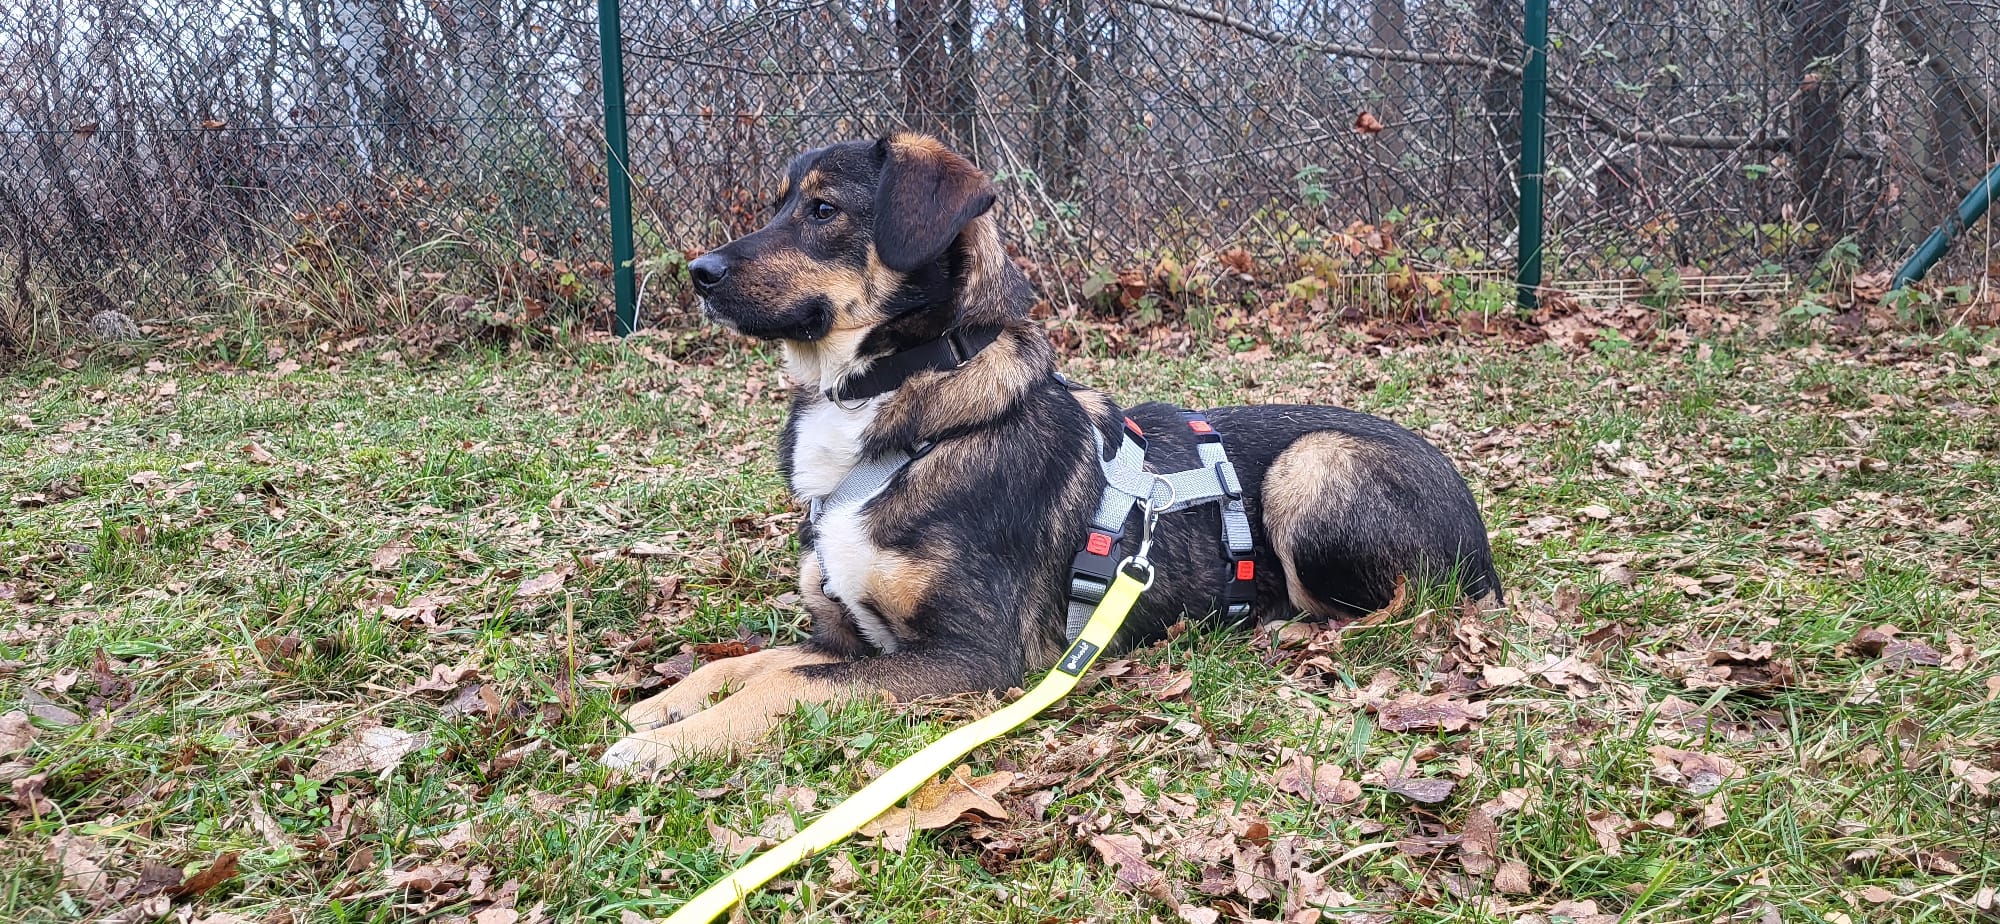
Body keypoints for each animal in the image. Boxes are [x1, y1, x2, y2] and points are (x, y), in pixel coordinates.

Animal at [601, 134, 1501, 771]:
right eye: (782, 203)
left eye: (824, 210)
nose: (698, 273)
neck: (893, 406)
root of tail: (1484, 543)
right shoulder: (849, 636)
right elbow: (759, 663)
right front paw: (665, 705)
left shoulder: (975, 656)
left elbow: (787, 684)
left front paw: (664, 744)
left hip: (1312, 466)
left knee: (1399, 604)